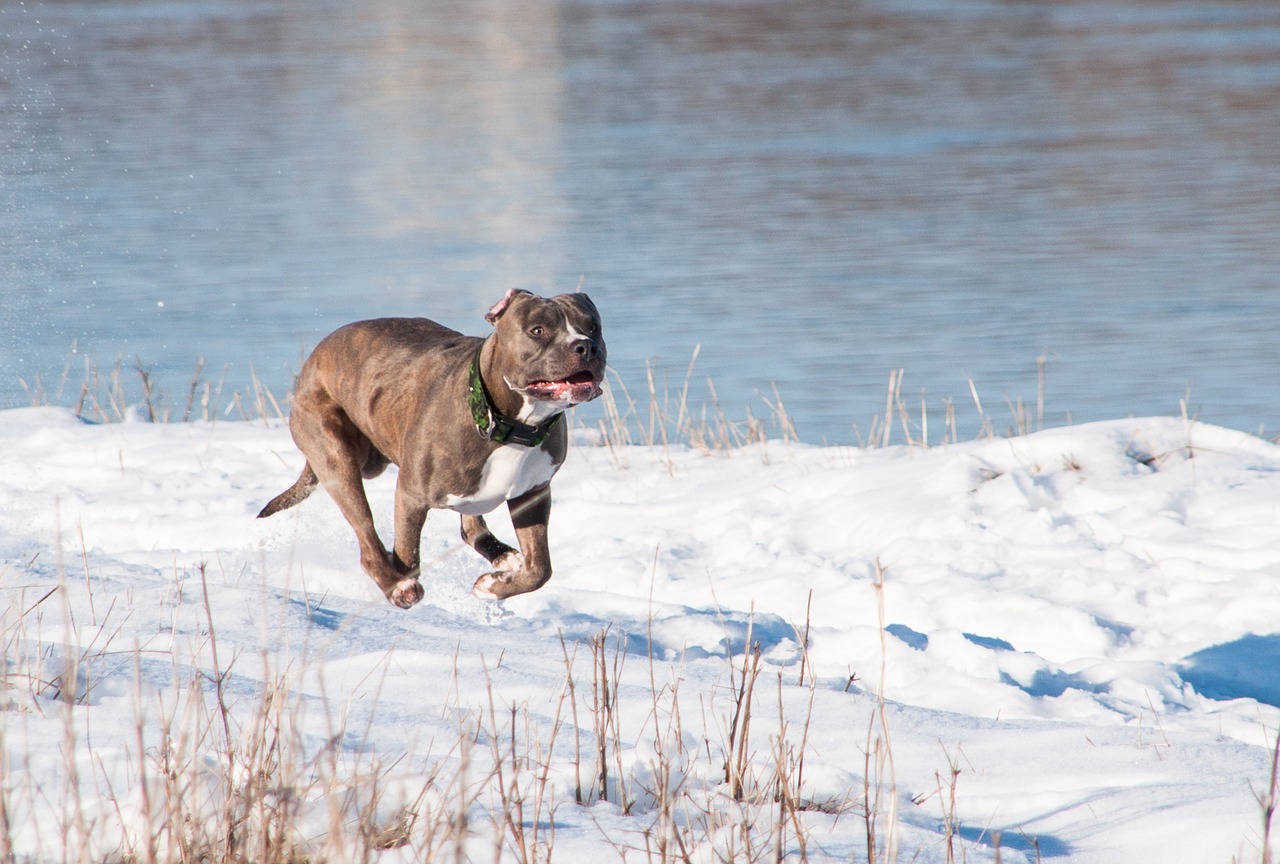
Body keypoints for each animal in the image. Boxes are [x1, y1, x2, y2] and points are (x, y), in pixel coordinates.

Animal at [257, 290, 606, 609]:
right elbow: (407, 553)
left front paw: (493, 587)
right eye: (537, 330)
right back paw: (396, 585)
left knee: (471, 527)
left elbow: (540, 569)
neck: (510, 425)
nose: (585, 345)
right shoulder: (411, 495)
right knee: (366, 535)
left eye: (593, 326)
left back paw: (504, 559)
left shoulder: (533, 494)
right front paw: (404, 581)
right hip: (335, 457)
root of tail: (314, 359)